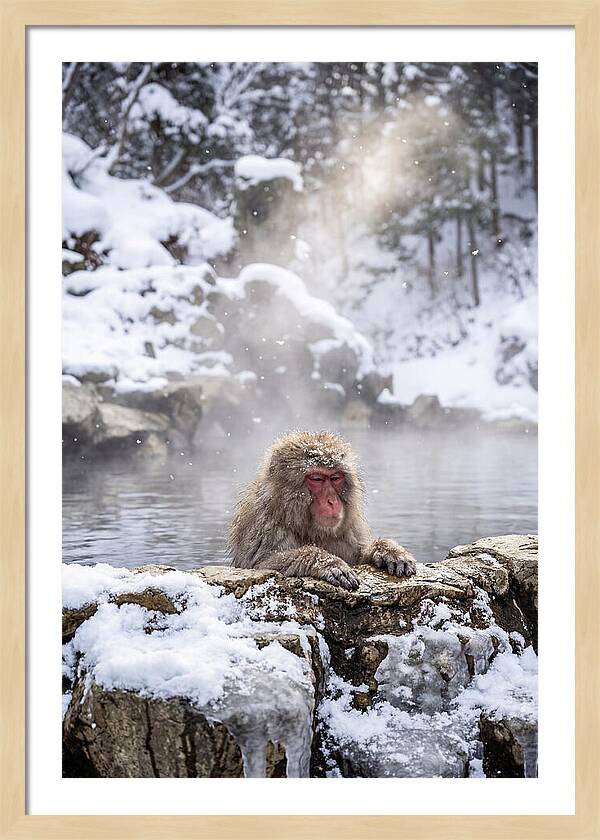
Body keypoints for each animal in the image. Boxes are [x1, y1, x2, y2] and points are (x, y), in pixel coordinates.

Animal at [228, 430, 417, 591]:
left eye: (335, 478)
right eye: (317, 479)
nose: (332, 501)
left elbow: (358, 557)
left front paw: (387, 550)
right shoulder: (264, 525)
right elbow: (261, 565)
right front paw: (327, 562)